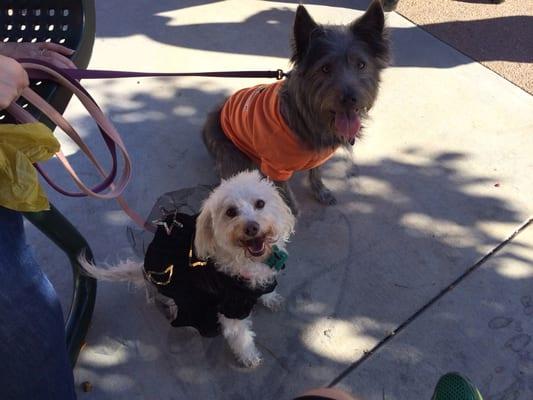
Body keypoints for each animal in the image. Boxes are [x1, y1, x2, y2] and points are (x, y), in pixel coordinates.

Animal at [202, 0, 388, 216]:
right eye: (325, 68)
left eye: (361, 65)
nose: (351, 99)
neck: (308, 117)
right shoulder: (276, 166)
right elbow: (283, 190)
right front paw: (289, 210)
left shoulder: (317, 158)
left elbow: (315, 173)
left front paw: (320, 191)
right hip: (234, 155)